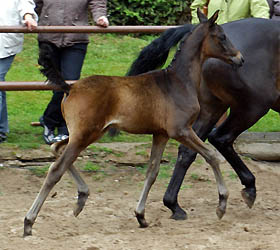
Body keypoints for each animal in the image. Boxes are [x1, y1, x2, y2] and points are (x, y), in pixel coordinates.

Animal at [23, 9, 243, 236]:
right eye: (222, 36)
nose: (240, 58)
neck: (179, 81)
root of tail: (70, 88)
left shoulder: (161, 134)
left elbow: (152, 172)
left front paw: (141, 216)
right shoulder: (181, 130)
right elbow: (211, 155)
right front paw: (222, 205)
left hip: (88, 134)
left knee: (56, 148)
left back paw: (81, 198)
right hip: (84, 135)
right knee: (56, 169)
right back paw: (29, 222)